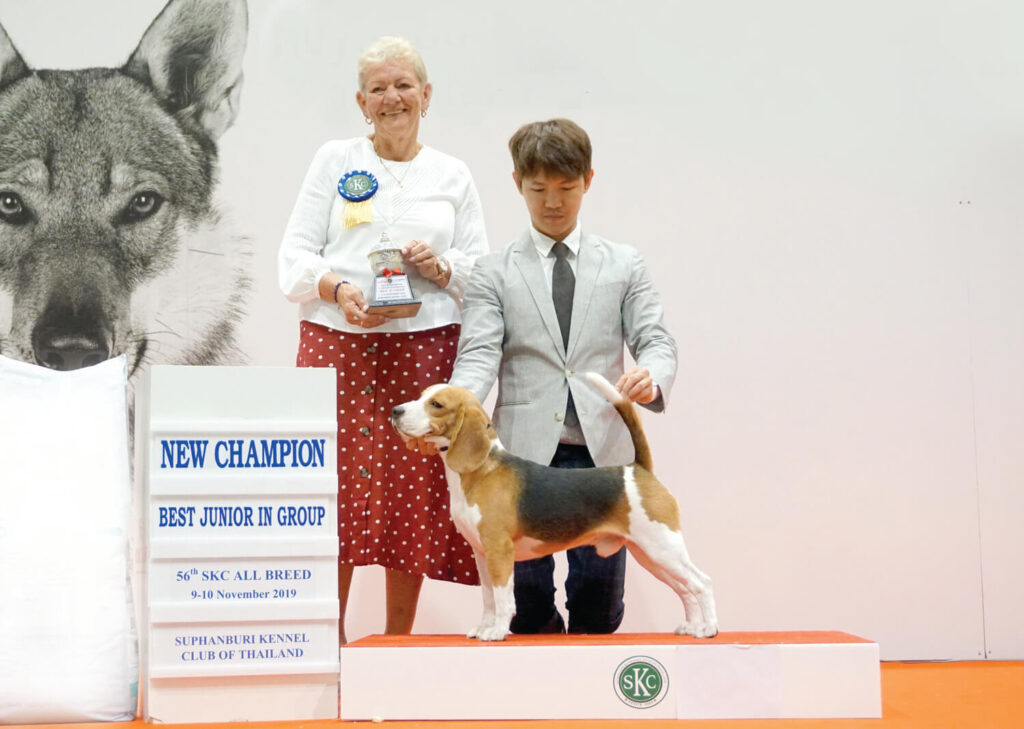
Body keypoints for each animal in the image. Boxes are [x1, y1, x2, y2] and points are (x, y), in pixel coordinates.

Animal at [392, 372, 718, 641]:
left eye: (436, 404)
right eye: (421, 396)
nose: (396, 411)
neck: (482, 468)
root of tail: (638, 469)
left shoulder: (499, 551)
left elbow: (503, 598)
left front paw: (496, 632)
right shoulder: (481, 554)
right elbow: (488, 598)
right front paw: (484, 627)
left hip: (663, 547)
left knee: (702, 582)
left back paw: (709, 629)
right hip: (650, 554)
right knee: (686, 589)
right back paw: (691, 626)